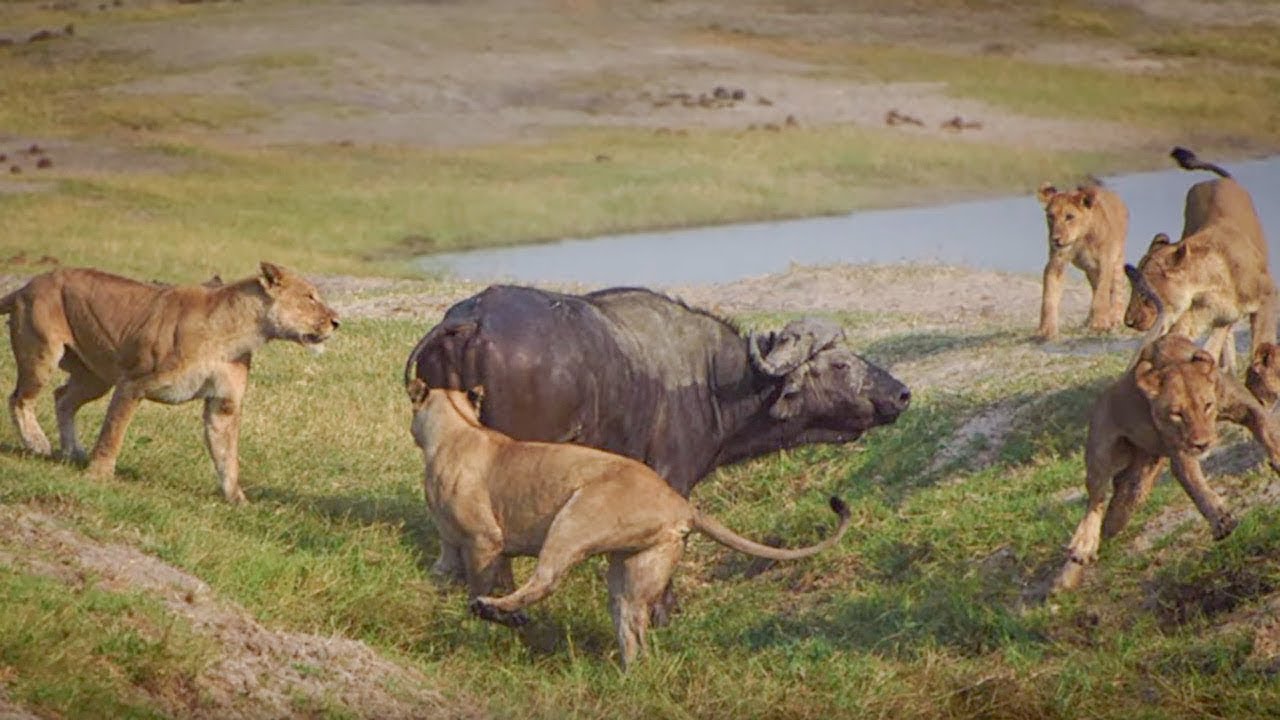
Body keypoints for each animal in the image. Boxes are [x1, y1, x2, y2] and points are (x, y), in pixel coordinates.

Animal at [0, 260, 337, 502]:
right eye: (309, 297)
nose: (337, 322)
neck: (236, 334)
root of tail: (27, 284)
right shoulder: (132, 384)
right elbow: (113, 433)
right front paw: (99, 476)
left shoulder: (223, 405)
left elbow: (227, 457)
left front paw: (237, 501)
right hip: (42, 353)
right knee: (19, 397)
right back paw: (37, 443)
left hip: (94, 377)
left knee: (63, 398)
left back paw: (73, 451)